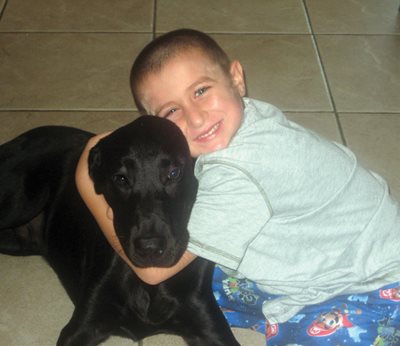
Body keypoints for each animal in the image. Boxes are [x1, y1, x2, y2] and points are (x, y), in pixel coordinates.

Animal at [0, 117, 238, 346]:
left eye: (174, 173)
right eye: (121, 179)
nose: (150, 248)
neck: (147, 284)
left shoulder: (206, 320)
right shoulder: (82, 326)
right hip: (21, 202)